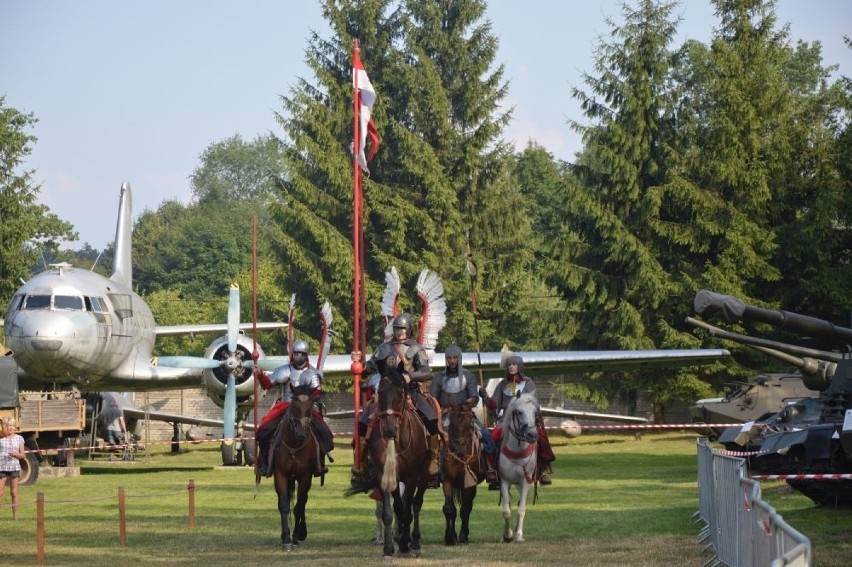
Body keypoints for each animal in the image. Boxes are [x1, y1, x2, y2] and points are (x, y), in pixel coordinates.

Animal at [272, 390, 320, 552]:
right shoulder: (281, 475)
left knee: (303, 501)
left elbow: (299, 507)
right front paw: (286, 539)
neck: (294, 444)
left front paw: (295, 537)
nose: (301, 433)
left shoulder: (305, 477)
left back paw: (301, 533)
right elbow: (284, 505)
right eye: (294, 406)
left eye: (310, 407)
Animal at [440, 400, 486, 544]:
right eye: (452, 425)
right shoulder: (447, 481)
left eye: (470, 425)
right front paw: (450, 536)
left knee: (468, 506)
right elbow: (449, 509)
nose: (460, 449)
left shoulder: (469, 484)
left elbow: (465, 509)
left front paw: (463, 535)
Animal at [496, 392, 536, 544]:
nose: (532, 435)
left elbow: (521, 509)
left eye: (535, 412)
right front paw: (508, 534)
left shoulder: (525, 481)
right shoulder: (504, 481)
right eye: (519, 412)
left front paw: (518, 535)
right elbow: (506, 510)